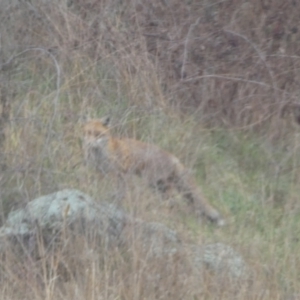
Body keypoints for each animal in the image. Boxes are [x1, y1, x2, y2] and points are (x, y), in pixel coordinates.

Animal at [83, 117, 224, 225]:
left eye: (97, 134)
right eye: (88, 133)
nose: (88, 144)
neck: (100, 154)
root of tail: (174, 157)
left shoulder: (119, 172)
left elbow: (118, 190)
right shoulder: (99, 171)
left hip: (156, 185)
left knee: (172, 203)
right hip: (158, 187)